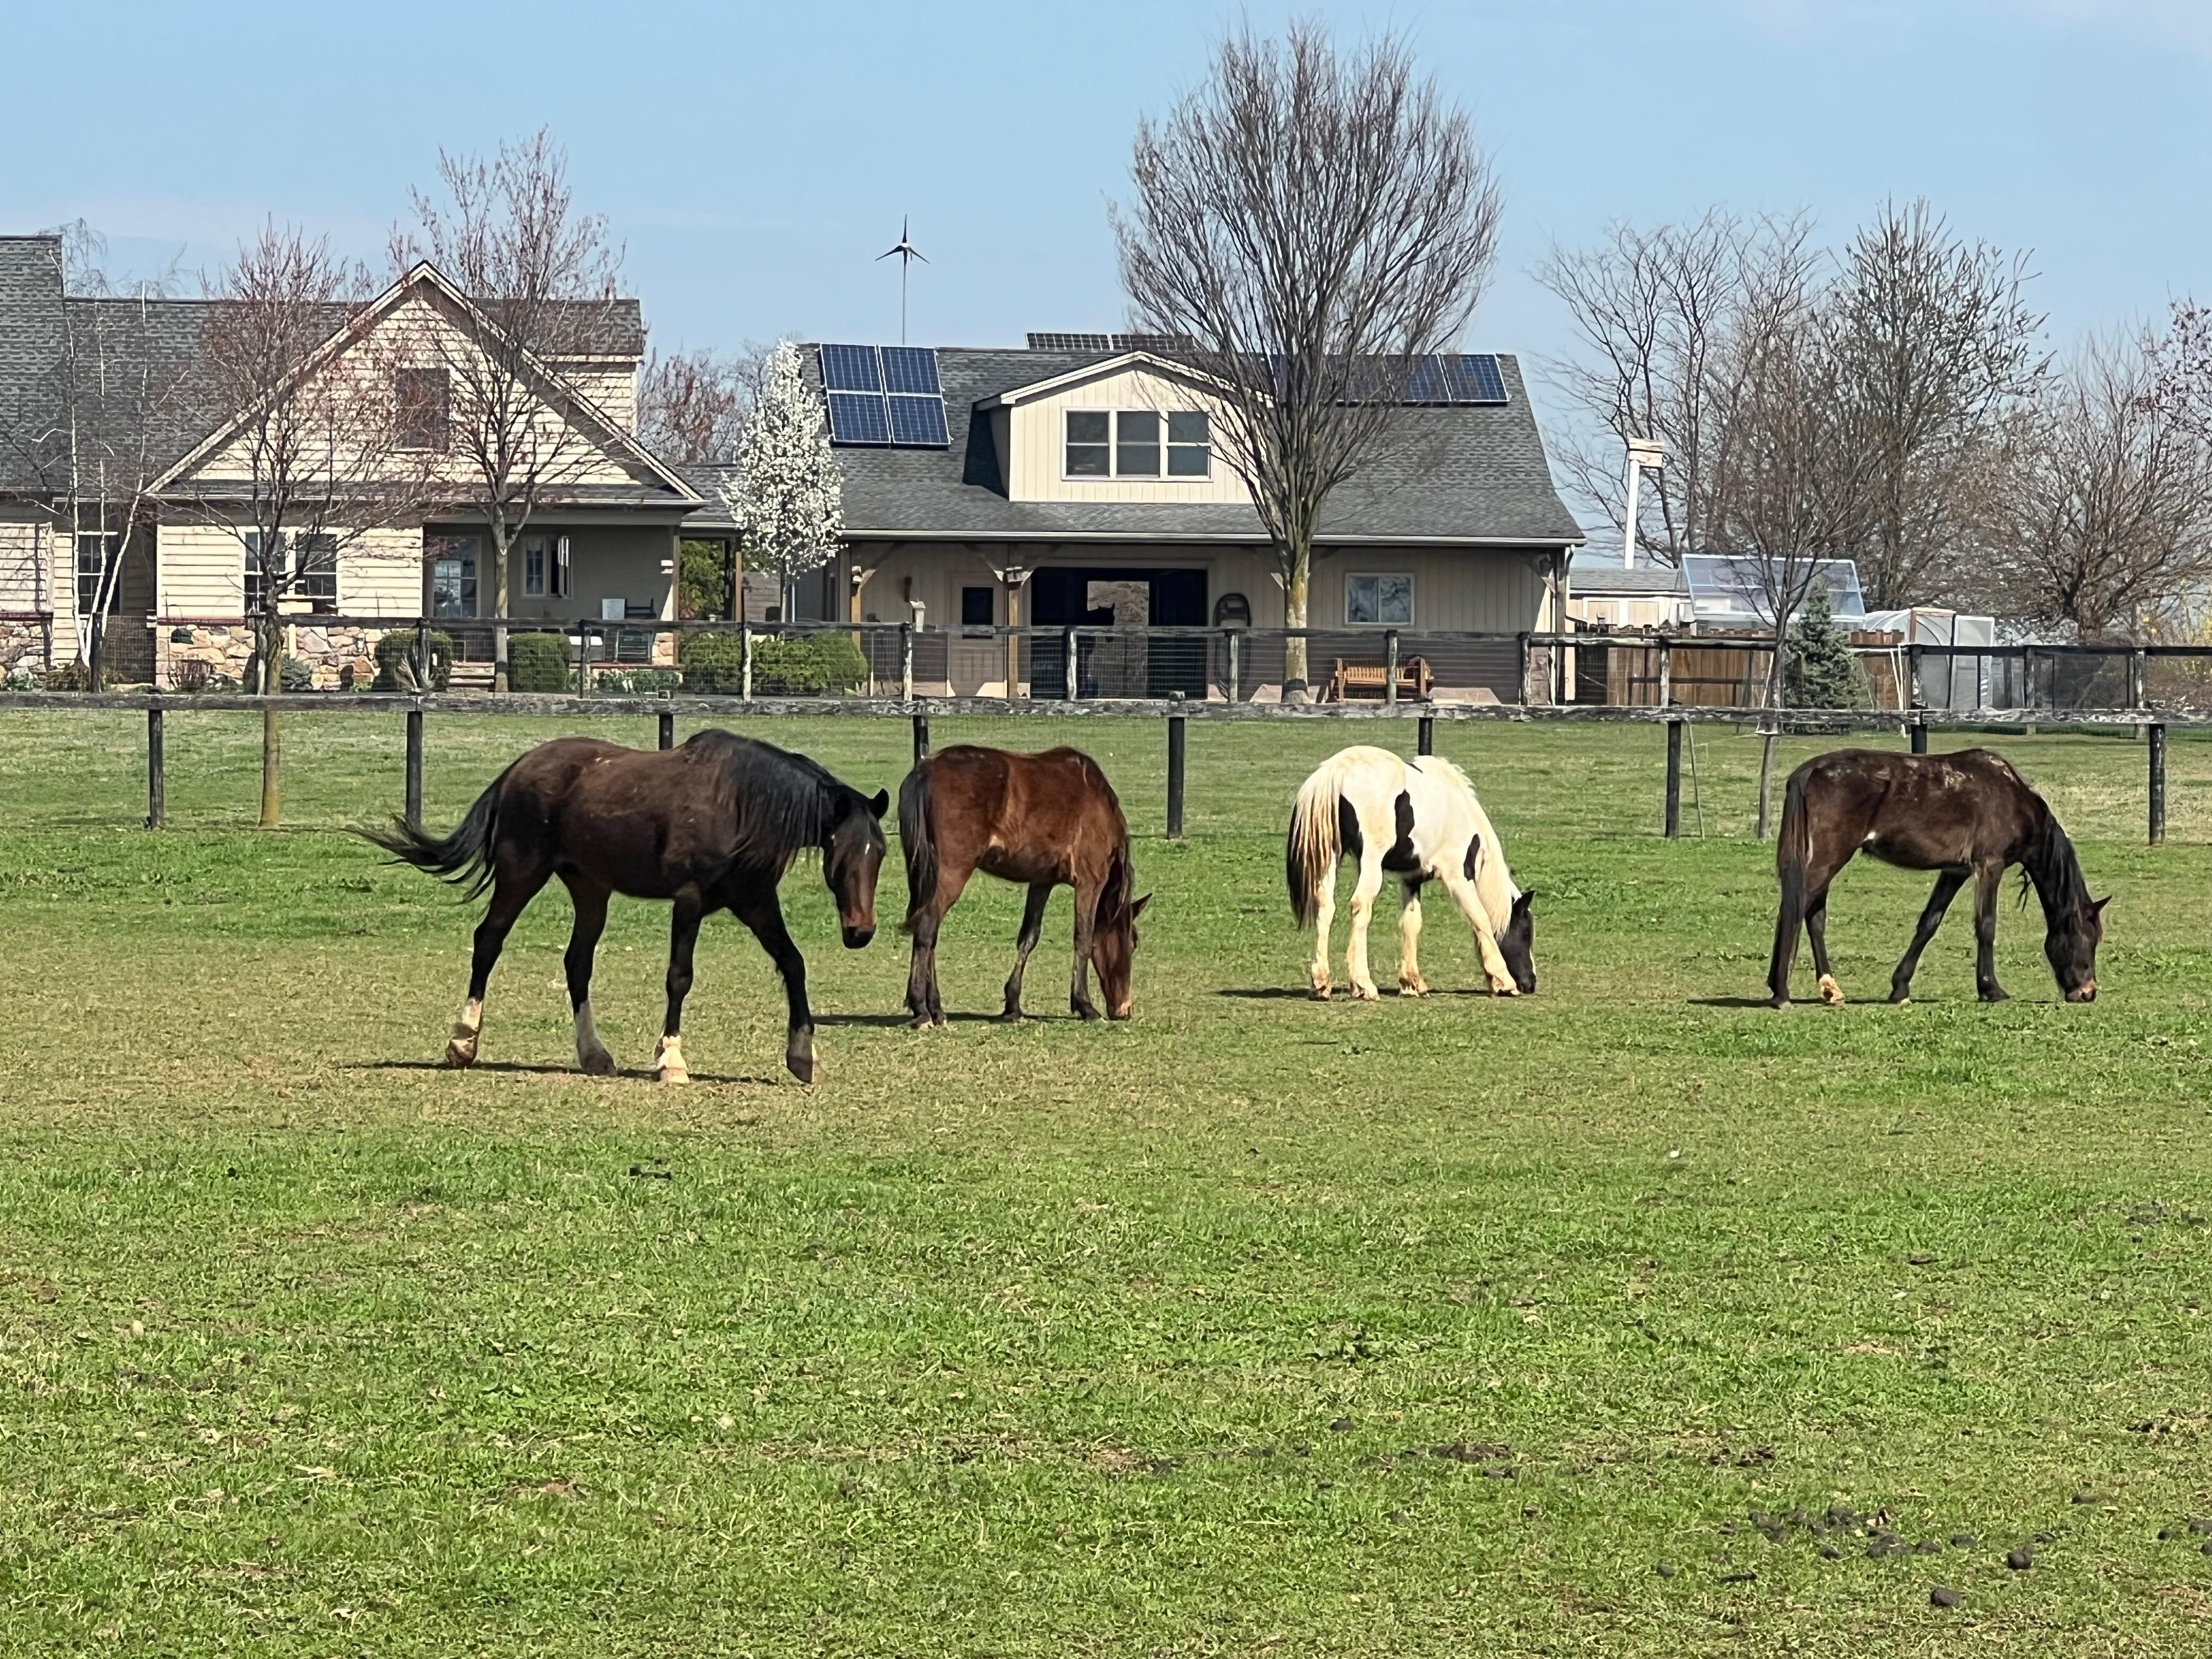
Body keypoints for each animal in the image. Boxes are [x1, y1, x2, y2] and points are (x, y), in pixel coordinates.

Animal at [365, 731, 888, 1083]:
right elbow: (680, 977)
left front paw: (803, 1056)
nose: (860, 931)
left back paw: (594, 1055)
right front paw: (671, 1060)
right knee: (488, 942)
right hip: (521, 875)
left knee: (577, 962)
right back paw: (463, 1042)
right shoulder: (690, 901)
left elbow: (793, 963)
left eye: (880, 853)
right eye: (840, 854)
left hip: (590, 890)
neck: (741, 805)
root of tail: (518, 768)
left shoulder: (756, 901)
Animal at [897, 745, 1149, 1027]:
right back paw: (921, 1009)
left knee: (930, 933)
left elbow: (1029, 938)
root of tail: (926, 770)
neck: (1099, 801)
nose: (1125, 1010)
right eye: (1134, 942)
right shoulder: (1090, 882)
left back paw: (937, 1009)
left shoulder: (1042, 882)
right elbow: (1083, 939)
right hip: (951, 875)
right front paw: (1085, 1005)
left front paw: (1013, 1005)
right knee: (927, 929)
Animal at [1286, 745, 1535, 1001]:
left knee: (1326, 907)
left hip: (1330, 857)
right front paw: (1504, 982)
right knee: (1360, 906)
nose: (1530, 983)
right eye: (1526, 931)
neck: (1461, 813)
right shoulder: (1457, 877)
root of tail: (1336, 771)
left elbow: (1411, 924)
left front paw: (1412, 983)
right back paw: (1364, 985)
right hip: (1371, 861)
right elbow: (1481, 918)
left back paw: (1321, 984)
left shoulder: (1412, 879)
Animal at [1768, 747, 2107, 1009]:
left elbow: (1929, 924)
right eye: (2087, 938)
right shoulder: (1990, 865)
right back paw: (1780, 991)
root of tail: (1810, 771)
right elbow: (1986, 926)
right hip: (1827, 859)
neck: (2013, 797)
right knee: (1794, 911)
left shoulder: (1954, 872)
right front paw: (1991, 989)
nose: (2088, 993)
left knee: (1814, 918)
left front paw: (1900, 988)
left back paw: (1830, 989)